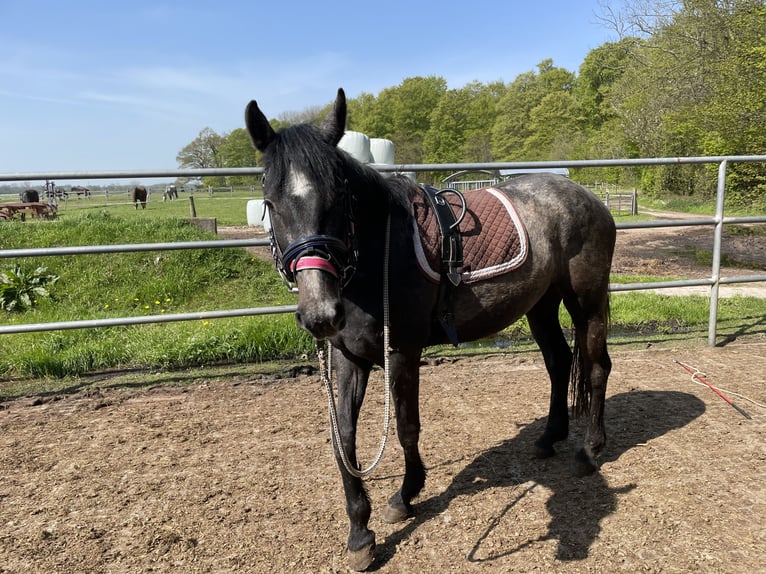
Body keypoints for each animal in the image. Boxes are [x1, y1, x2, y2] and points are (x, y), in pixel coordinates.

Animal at [246, 89, 616, 572]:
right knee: (559, 361)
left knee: (596, 367)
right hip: (541, 305)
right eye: (270, 202)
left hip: (586, 303)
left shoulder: (401, 353)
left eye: (340, 197)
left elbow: (407, 427)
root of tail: (590, 197)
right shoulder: (349, 358)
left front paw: (405, 496)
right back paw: (548, 438)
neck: (378, 255)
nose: (320, 313)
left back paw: (589, 451)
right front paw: (360, 533)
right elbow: (343, 438)